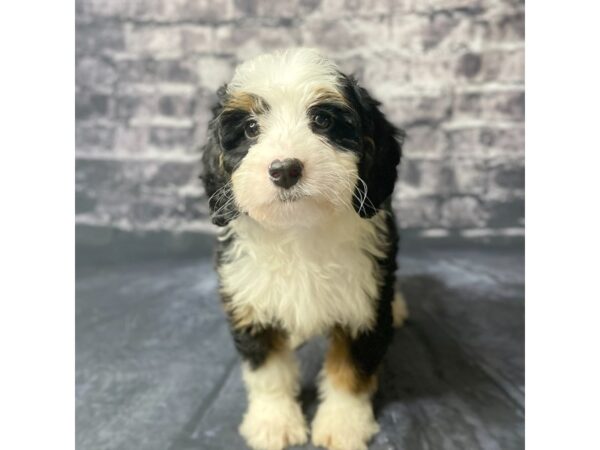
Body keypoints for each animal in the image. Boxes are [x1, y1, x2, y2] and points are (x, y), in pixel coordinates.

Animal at [202, 49, 408, 450]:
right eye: (251, 128)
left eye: (322, 120)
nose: (285, 169)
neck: (298, 229)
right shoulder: (249, 297)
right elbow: (267, 370)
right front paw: (273, 422)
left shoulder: (364, 300)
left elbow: (351, 369)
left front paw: (344, 424)